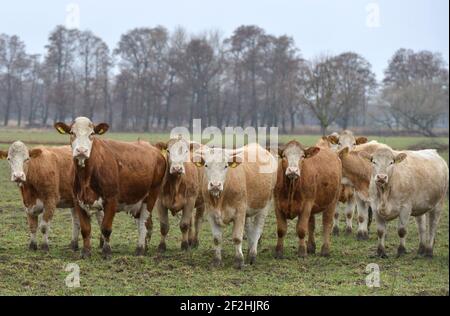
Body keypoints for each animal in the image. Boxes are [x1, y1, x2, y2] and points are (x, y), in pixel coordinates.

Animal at [54, 117, 166, 258]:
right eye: (72, 133)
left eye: (92, 134)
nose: (81, 151)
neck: (86, 177)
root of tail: (153, 148)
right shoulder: (78, 201)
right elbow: (85, 229)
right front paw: (86, 252)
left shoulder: (112, 199)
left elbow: (106, 228)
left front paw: (107, 252)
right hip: (137, 200)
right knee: (147, 224)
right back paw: (144, 247)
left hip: (151, 195)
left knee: (143, 222)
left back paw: (140, 249)